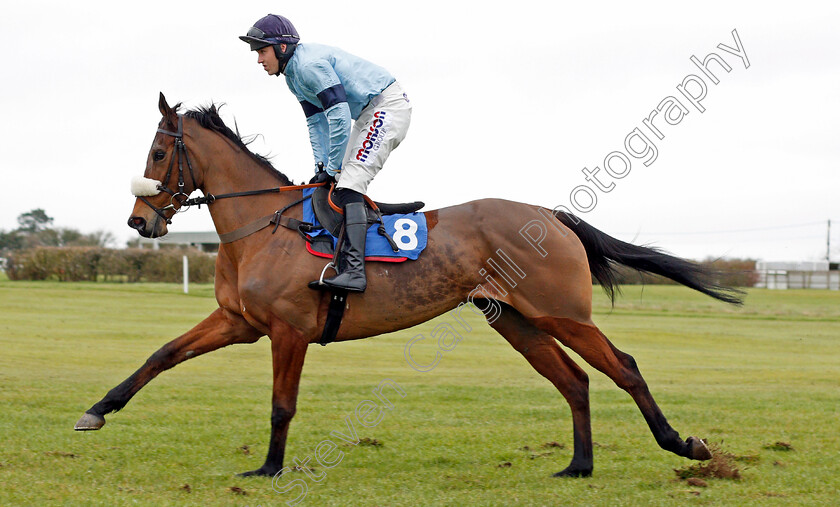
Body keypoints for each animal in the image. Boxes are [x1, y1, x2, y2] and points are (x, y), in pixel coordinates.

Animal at [74, 93, 740, 478]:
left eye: (160, 153)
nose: (140, 222)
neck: (263, 225)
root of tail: (551, 215)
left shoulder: (287, 331)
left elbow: (282, 404)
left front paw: (268, 469)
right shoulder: (239, 323)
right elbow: (162, 355)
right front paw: (97, 410)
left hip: (561, 313)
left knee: (623, 366)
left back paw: (683, 446)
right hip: (517, 320)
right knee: (574, 382)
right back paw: (578, 466)